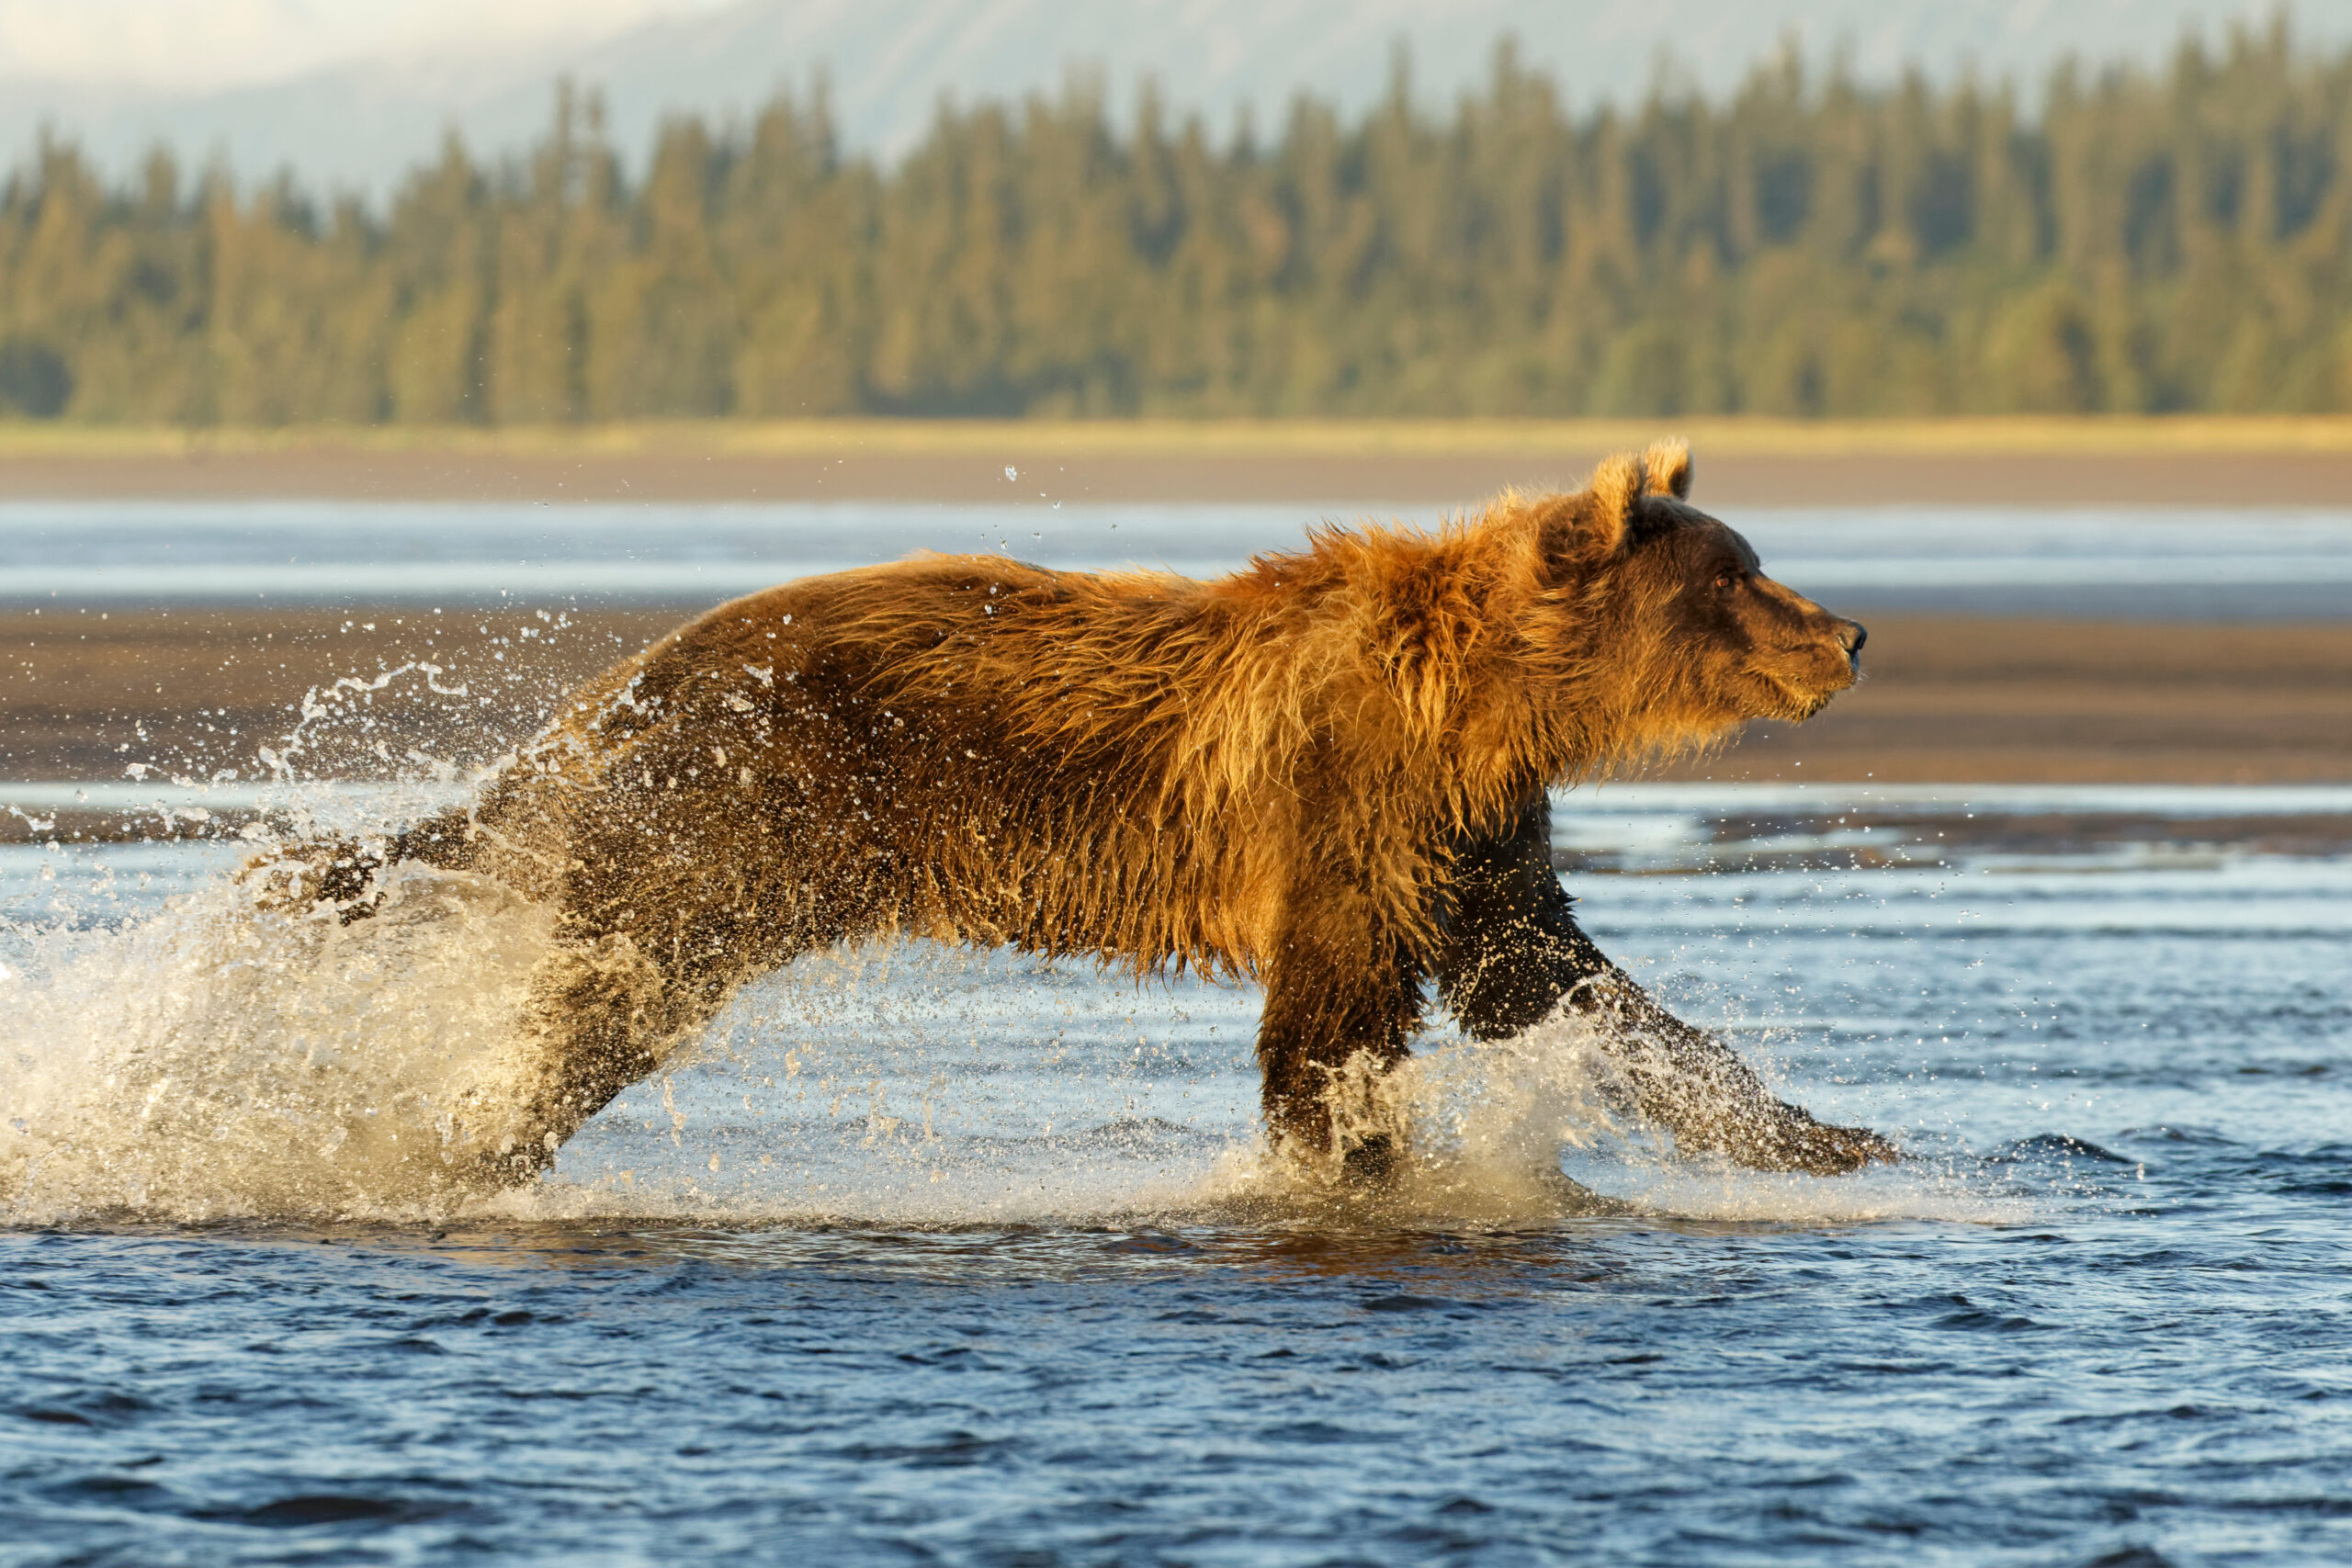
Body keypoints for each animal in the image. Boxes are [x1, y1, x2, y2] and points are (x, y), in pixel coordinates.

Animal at [284, 442, 1891, 1189]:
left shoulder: (1475, 830)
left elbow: (1556, 981)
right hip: (727, 821)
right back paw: (456, 1137)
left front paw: (1829, 1133)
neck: (1487, 702)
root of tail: (622, 677)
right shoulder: (1344, 800)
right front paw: (1348, 1157)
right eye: (1740, 572)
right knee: (608, 992)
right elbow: (1332, 1016)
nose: (1854, 631)